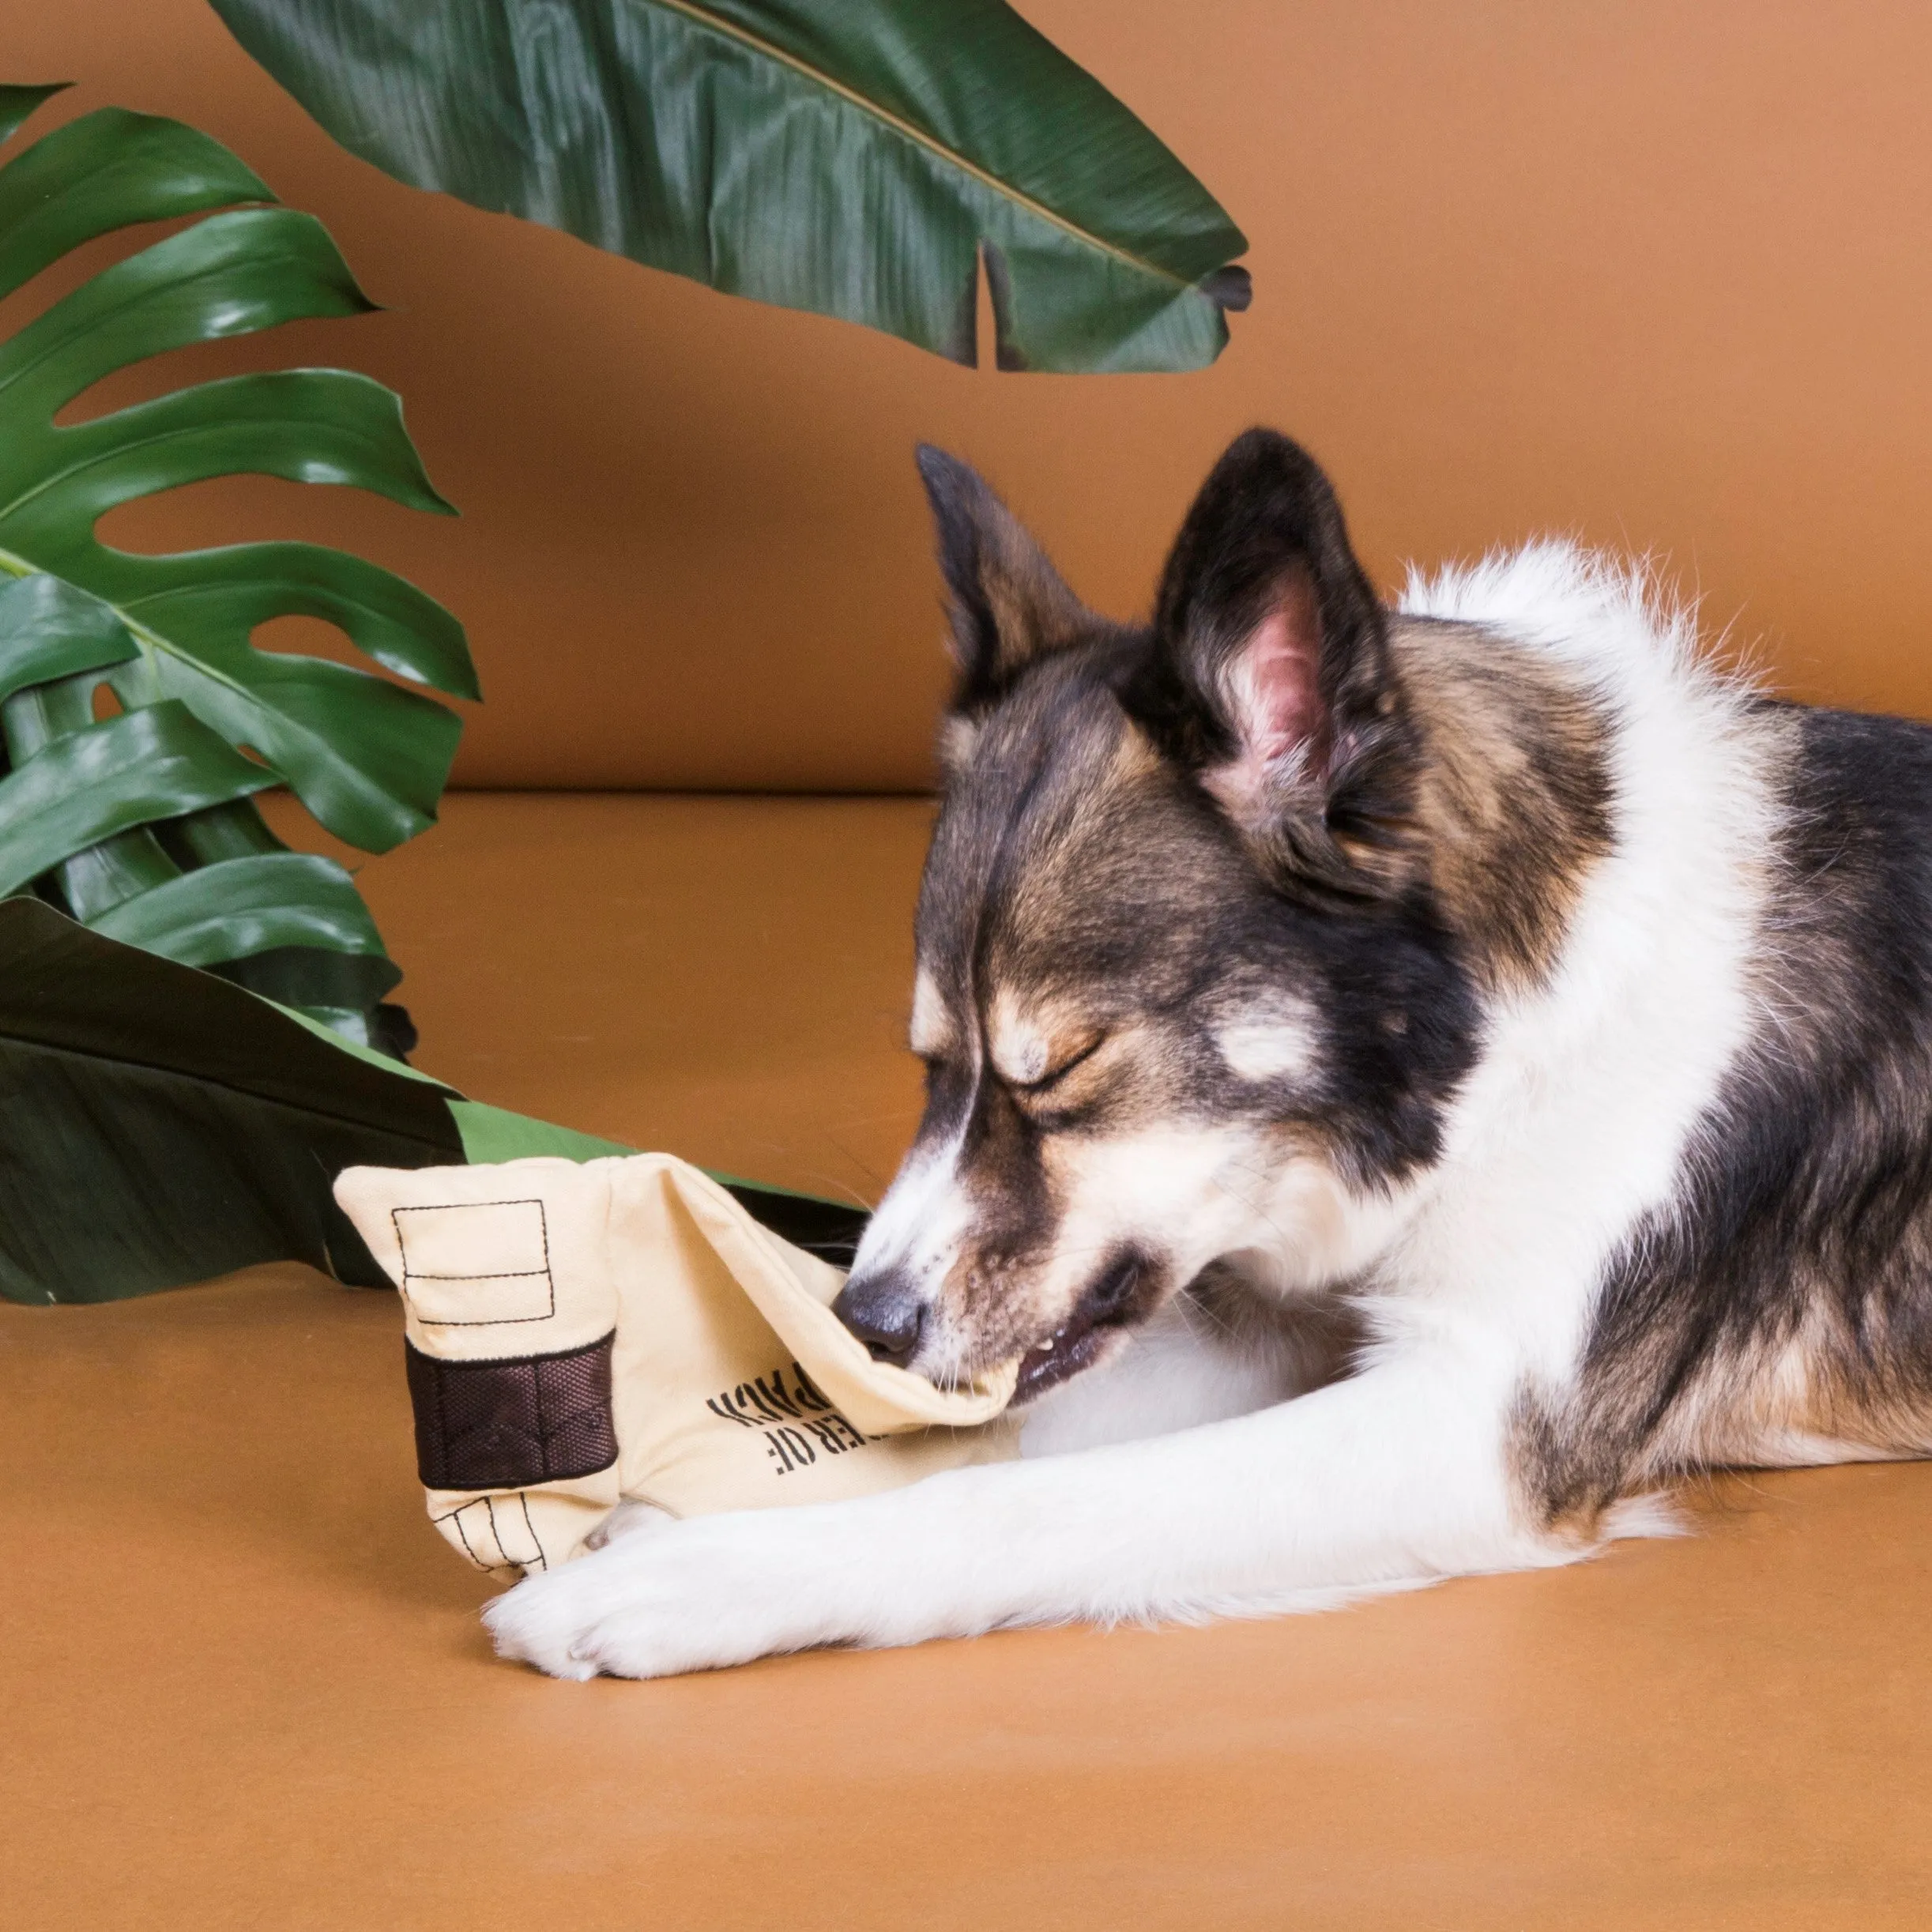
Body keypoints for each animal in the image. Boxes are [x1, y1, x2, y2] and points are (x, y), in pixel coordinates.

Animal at [479, 427, 1932, 1677]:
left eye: (1064, 1067)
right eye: (930, 1061)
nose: (865, 1323)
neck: (1488, 1047)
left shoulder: (1465, 1420)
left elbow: (1036, 1502)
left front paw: (690, 1579)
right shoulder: (1261, 1315)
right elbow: (998, 1431)